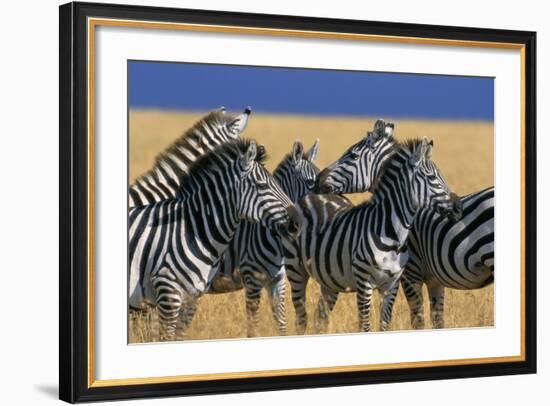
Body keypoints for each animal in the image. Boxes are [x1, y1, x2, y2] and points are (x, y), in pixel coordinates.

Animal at [284, 136, 462, 334]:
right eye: (432, 178)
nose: (459, 208)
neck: (392, 234)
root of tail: (308, 196)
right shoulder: (364, 282)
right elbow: (365, 326)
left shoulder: (392, 284)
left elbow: (385, 324)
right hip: (295, 269)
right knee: (301, 318)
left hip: (329, 279)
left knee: (320, 317)